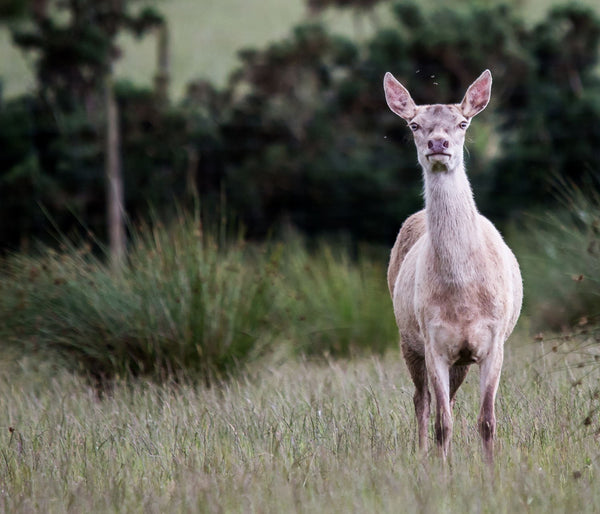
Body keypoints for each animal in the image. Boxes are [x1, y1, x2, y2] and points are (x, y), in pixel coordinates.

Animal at [384, 69, 520, 460]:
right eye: (414, 124)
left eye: (463, 122)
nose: (438, 143)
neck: (462, 298)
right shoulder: (434, 341)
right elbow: (442, 422)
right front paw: (442, 470)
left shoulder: (494, 340)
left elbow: (487, 421)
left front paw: (490, 471)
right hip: (407, 339)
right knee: (422, 400)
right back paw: (421, 454)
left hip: (461, 357)